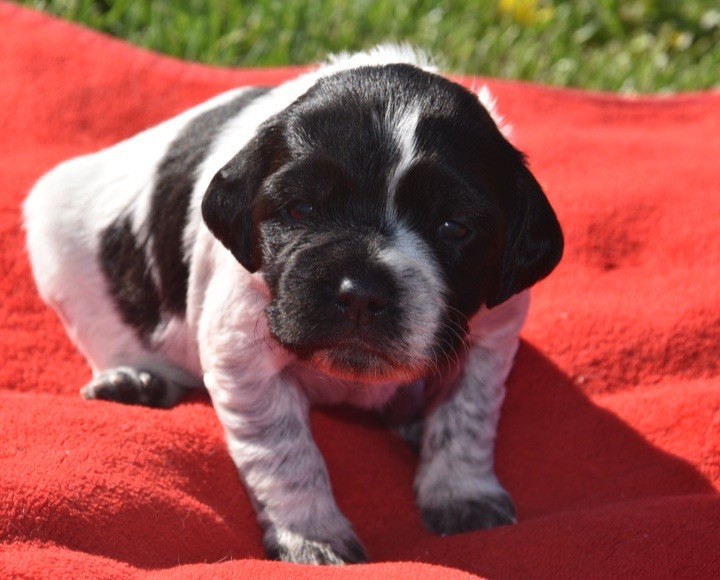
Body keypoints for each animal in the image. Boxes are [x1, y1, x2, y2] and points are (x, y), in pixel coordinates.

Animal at [24, 46, 563, 565]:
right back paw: (135, 381)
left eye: (453, 228)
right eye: (300, 209)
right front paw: (312, 537)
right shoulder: (243, 353)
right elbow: (287, 455)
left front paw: (461, 493)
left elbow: (465, 419)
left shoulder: (491, 337)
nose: (360, 292)